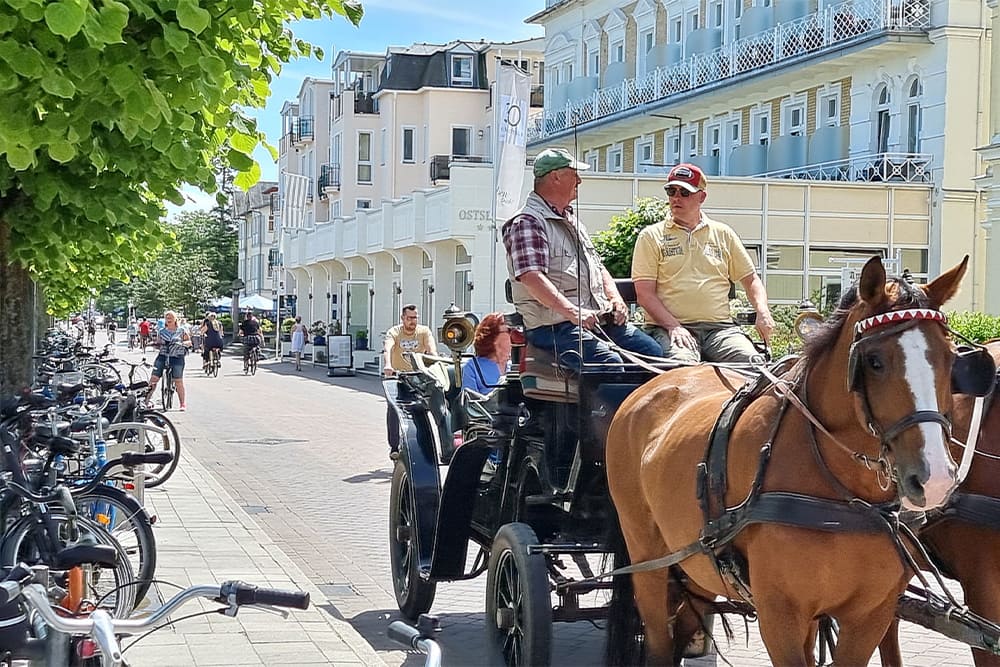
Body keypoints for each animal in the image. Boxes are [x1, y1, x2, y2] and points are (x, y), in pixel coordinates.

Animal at [600, 258, 968, 667]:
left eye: (950, 359)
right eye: (874, 362)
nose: (935, 477)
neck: (846, 499)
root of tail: (650, 387)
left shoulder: (870, 615)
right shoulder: (780, 615)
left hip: (697, 564)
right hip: (648, 559)